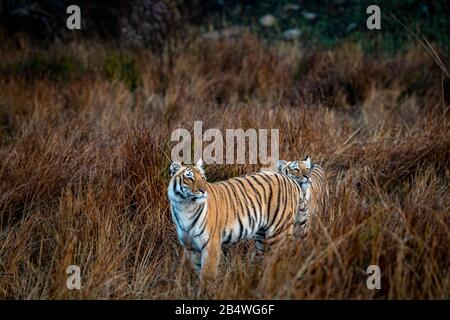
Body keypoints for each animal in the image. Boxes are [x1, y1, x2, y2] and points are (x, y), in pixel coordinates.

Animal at [169, 159, 306, 278]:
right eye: (189, 178)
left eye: (203, 178)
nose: (203, 191)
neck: (185, 207)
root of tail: (290, 180)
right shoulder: (191, 248)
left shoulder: (211, 245)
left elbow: (207, 276)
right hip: (262, 236)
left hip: (279, 233)